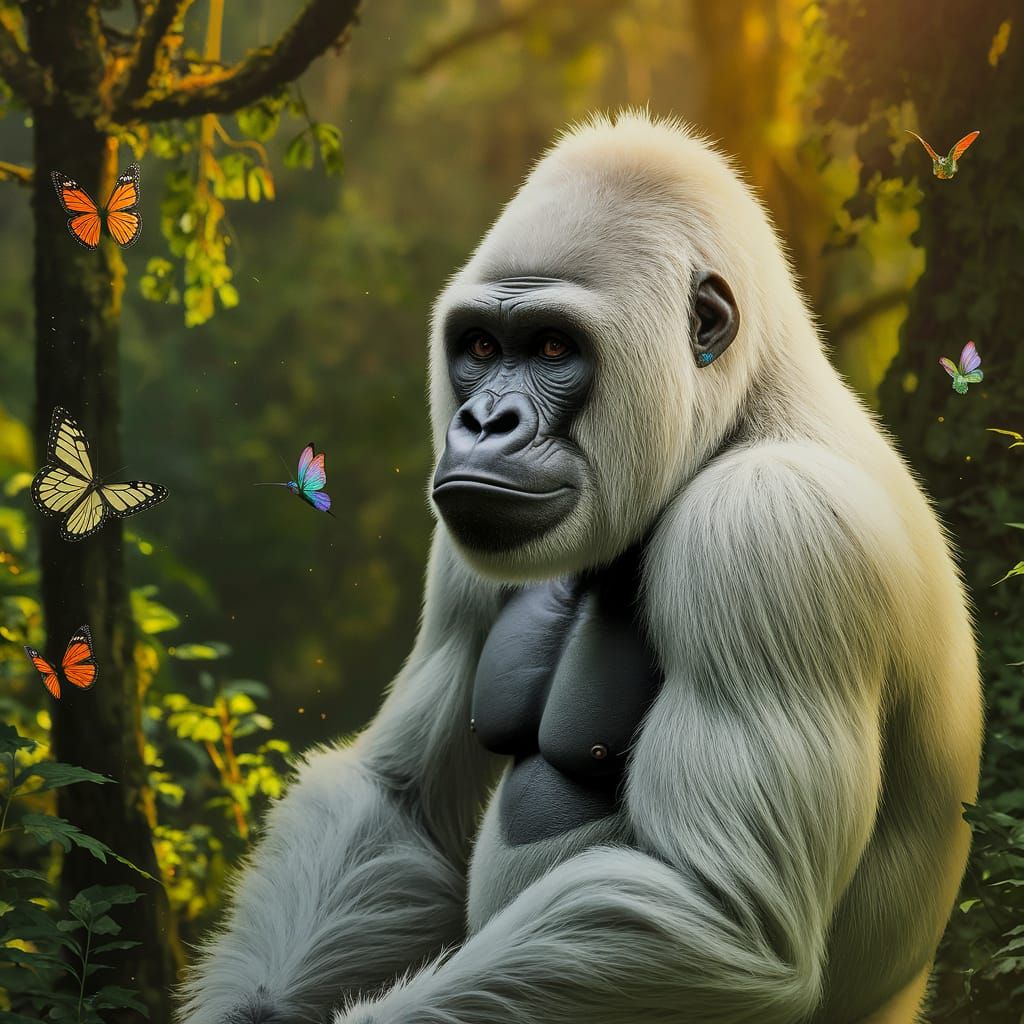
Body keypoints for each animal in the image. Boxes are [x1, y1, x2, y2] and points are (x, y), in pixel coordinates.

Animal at [178, 111, 982, 1024]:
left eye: (554, 347)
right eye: (480, 345)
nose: (483, 421)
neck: (744, 411)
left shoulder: (770, 529)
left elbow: (717, 914)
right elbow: (400, 799)